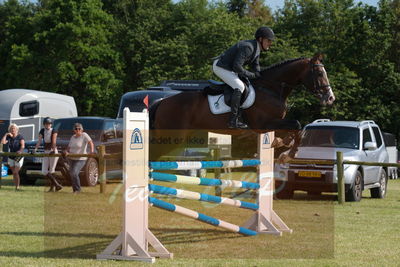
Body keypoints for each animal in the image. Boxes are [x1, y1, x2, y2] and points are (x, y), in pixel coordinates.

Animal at [150, 53, 334, 160]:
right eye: (319, 73)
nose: (330, 98)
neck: (270, 88)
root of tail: (162, 102)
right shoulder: (262, 124)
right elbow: (296, 124)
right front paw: (291, 153)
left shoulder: (272, 123)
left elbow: (294, 127)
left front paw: (282, 143)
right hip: (173, 135)